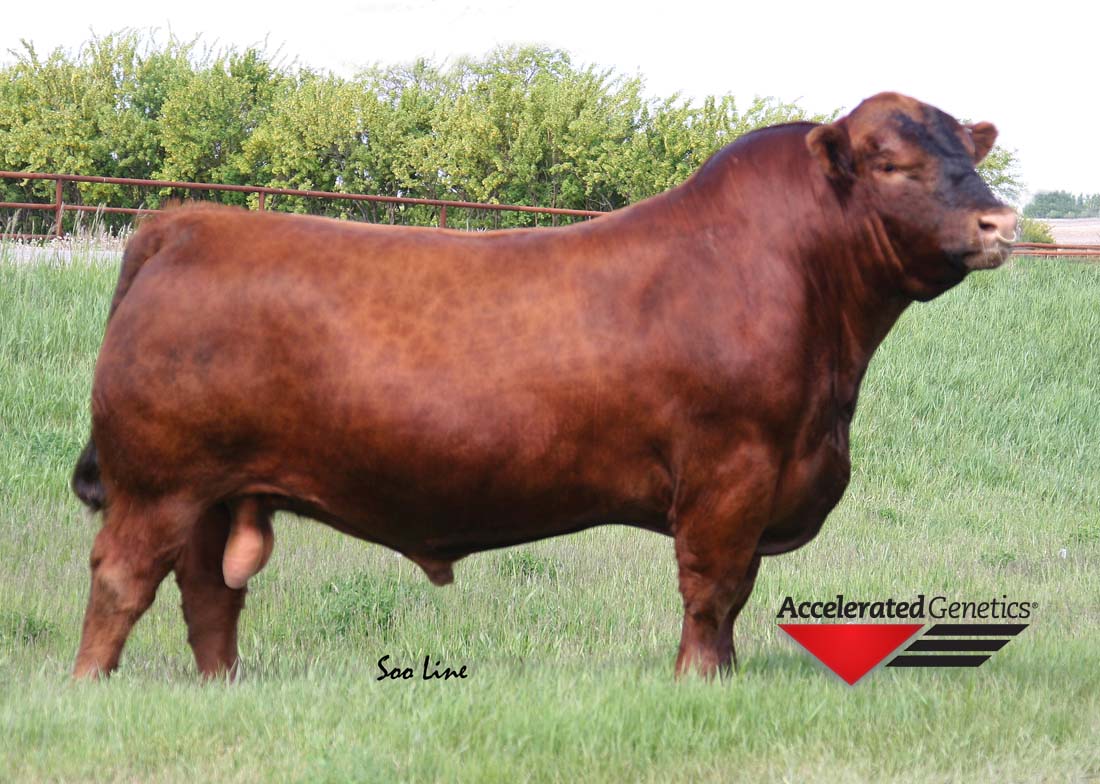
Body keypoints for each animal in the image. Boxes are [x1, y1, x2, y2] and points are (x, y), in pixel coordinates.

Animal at [70, 92, 1017, 680]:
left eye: (965, 155)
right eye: (891, 163)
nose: (999, 220)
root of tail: (187, 221)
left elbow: (732, 596)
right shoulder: (731, 472)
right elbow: (714, 590)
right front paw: (700, 681)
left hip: (214, 490)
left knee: (209, 595)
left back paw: (221, 687)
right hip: (158, 482)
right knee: (124, 580)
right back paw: (90, 688)